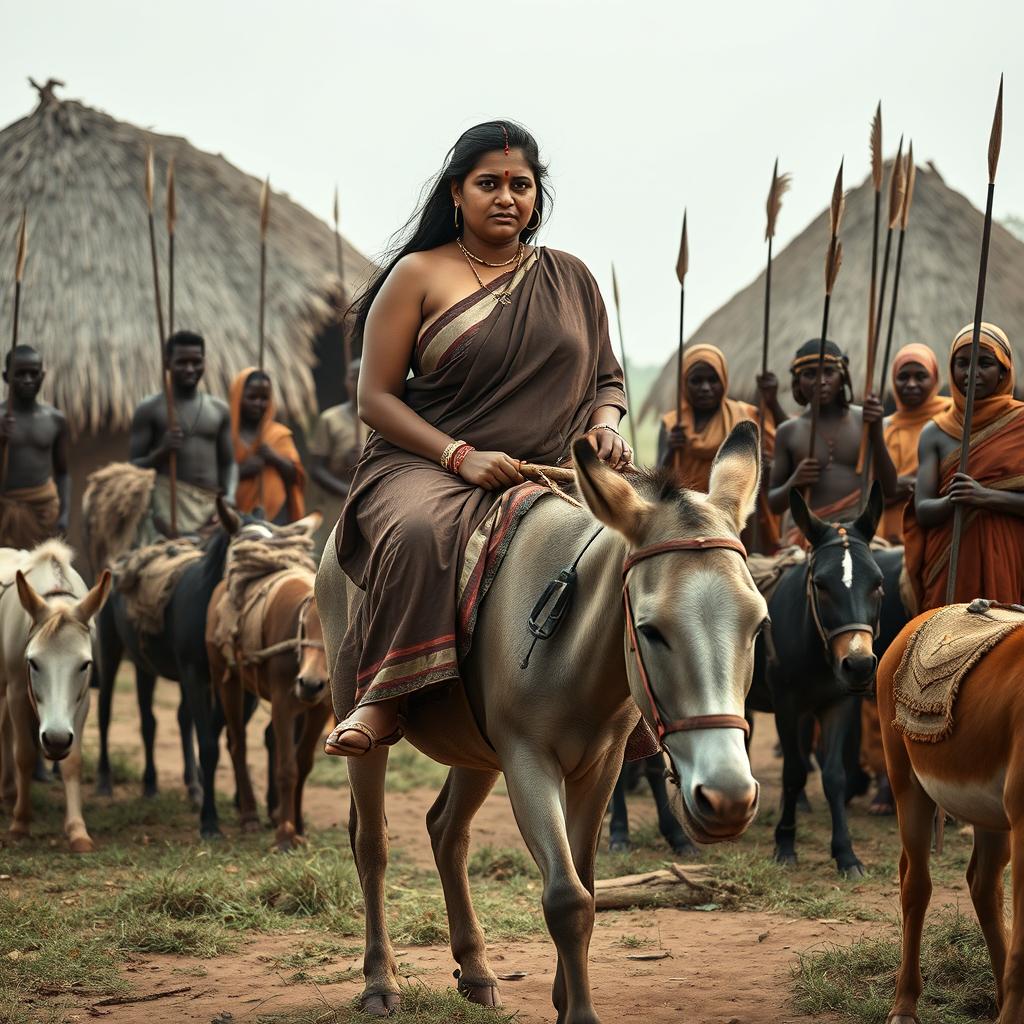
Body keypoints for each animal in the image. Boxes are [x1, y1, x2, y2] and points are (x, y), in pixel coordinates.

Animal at [207, 532, 331, 851]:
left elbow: (303, 764)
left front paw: (298, 825)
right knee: (237, 744)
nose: (310, 683)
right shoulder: (282, 704)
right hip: (227, 681)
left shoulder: (320, 708)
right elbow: (287, 768)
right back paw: (249, 814)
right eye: (306, 626)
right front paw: (285, 835)